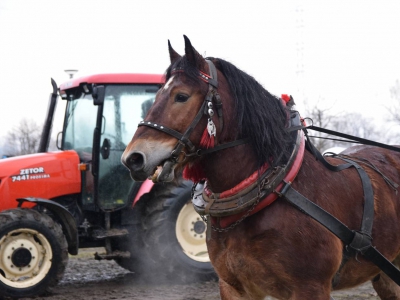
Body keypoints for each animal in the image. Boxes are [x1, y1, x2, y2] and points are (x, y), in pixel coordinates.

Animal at [121, 35, 400, 300]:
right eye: (156, 95)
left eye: (181, 96)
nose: (132, 158)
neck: (276, 188)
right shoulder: (233, 287)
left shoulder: (311, 287)